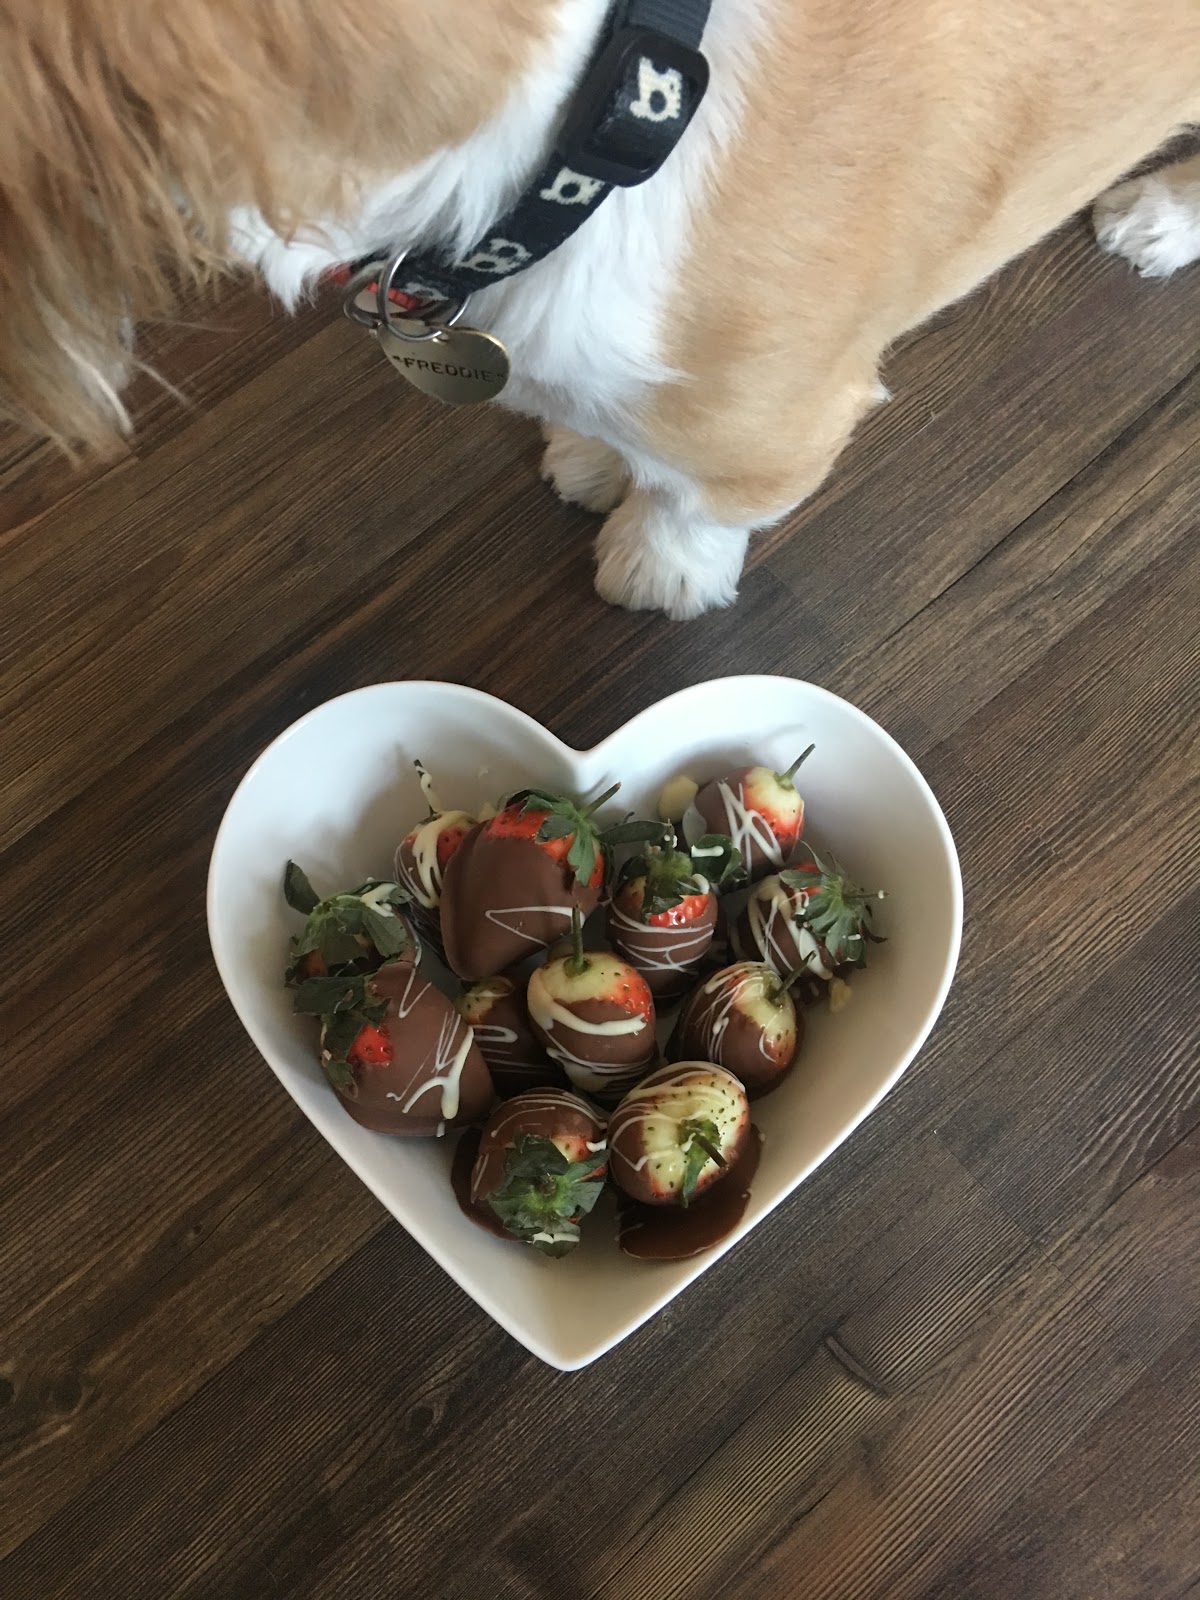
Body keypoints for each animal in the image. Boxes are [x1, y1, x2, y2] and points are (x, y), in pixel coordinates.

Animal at [2, 0, 1199, 619]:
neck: (609, 125)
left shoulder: (773, 426)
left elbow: (695, 503)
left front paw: (659, 568)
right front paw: (591, 456)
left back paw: (1164, 215)